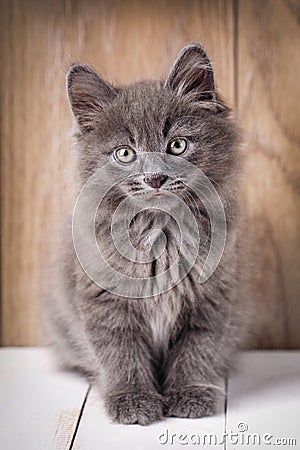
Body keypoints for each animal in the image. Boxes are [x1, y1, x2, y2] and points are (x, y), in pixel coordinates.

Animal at [45, 44, 245, 426]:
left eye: (177, 146)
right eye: (125, 153)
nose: (155, 178)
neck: (159, 232)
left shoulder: (211, 299)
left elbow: (197, 350)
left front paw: (190, 395)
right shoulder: (105, 304)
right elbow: (121, 355)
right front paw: (133, 401)